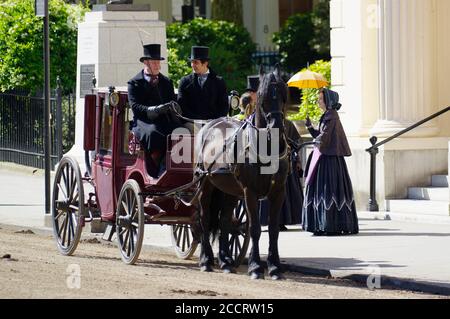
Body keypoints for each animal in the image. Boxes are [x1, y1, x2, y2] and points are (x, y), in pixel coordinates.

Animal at [194, 65, 288, 280]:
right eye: (262, 95)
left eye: (283, 93)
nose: (277, 127)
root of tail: (210, 124)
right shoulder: (249, 192)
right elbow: (254, 229)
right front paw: (255, 267)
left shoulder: (278, 192)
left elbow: (273, 230)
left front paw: (274, 267)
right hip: (205, 184)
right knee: (204, 218)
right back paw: (206, 260)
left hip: (229, 190)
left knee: (224, 221)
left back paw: (226, 262)